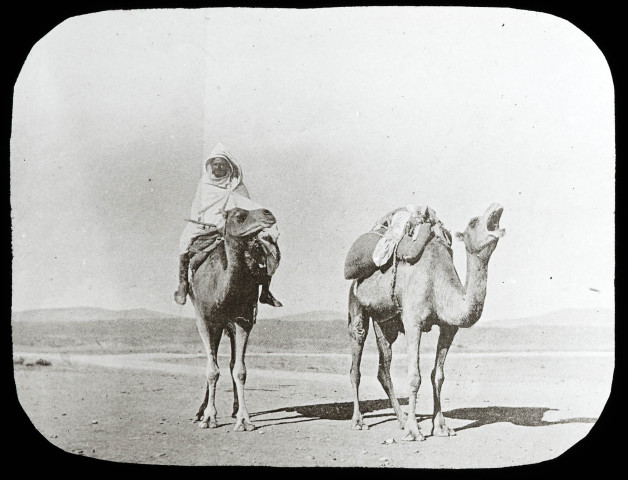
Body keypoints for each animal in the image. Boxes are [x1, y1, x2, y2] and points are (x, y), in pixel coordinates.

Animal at [189, 206, 278, 432]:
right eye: (239, 216)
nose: (268, 214)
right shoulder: (205, 320)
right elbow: (211, 370)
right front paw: (209, 417)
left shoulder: (243, 320)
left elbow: (239, 370)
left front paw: (244, 419)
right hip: (215, 325)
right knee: (213, 362)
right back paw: (200, 412)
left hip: (228, 326)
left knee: (230, 363)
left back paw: (234, 408)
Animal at [348, 201, 506, 440]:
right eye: (473, 222)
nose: (496, 206)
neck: (438, 282)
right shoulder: (413, 322)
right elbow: (415, 376)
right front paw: (415, 430)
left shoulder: (449, 328)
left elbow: (438, 375)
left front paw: (441, 427)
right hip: (356, 301)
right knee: (356, 361)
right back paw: (359, 421)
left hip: (385, 322)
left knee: (383, 368)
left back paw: (401, 420)